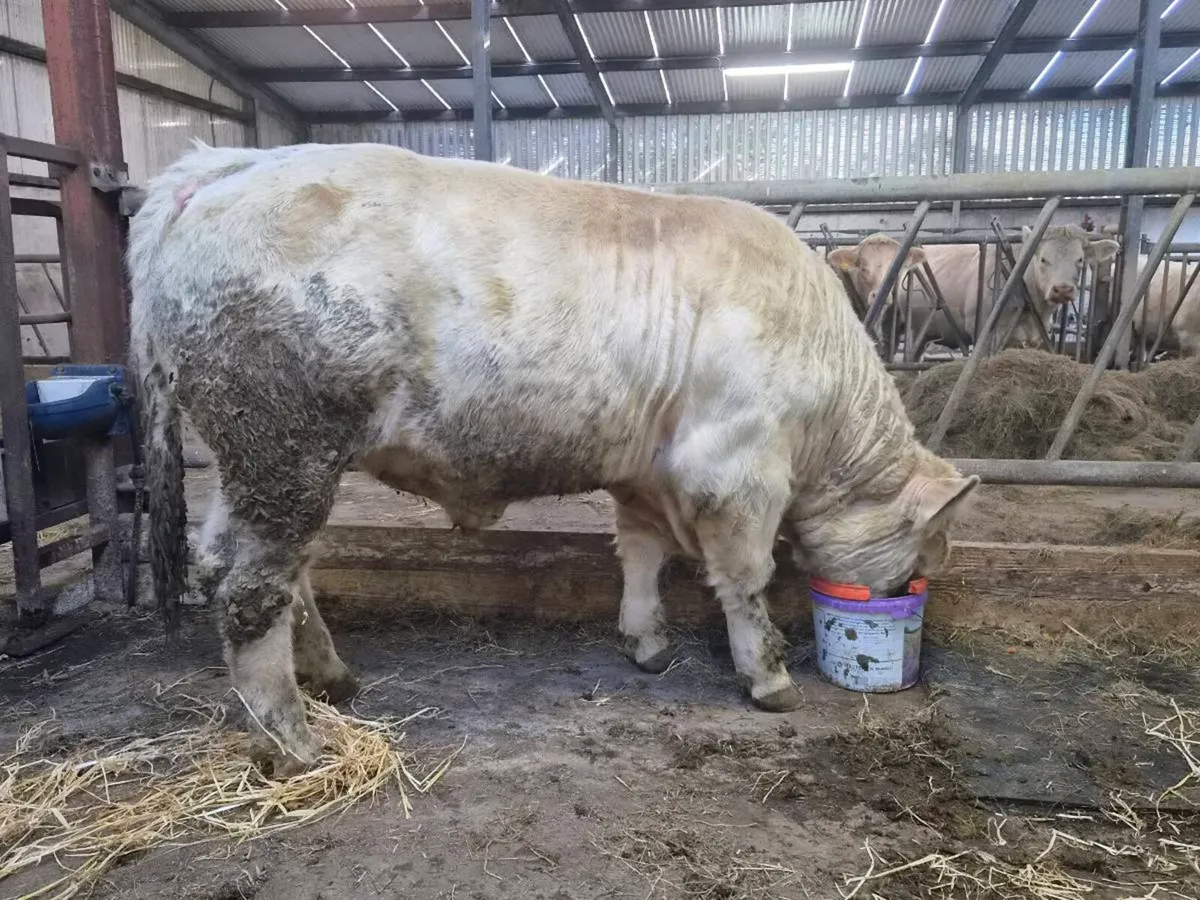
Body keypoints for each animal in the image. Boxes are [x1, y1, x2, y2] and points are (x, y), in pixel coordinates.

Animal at [130, 141, 979, 776]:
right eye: (922, 549)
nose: (904, 595)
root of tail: (225, 168)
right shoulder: (736, 469)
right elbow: (744, 578)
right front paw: (769, 678)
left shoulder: (648, 471)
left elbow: (640, 553)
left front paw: (645, 642)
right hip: (285, 448)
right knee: (251, 592)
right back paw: (294, 742)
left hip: (250, 460)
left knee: (248, 568)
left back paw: (331, 678)